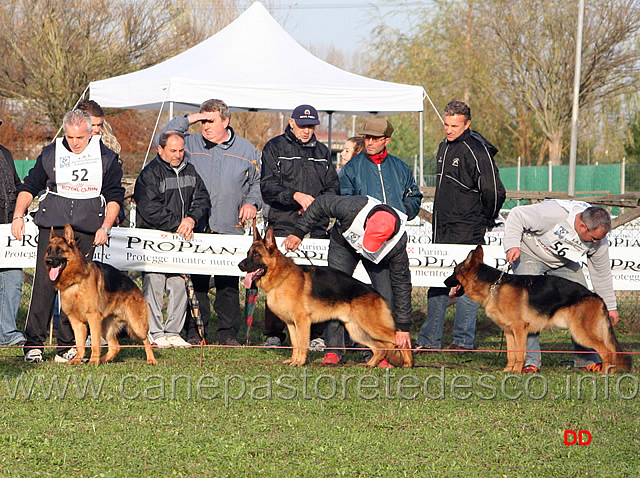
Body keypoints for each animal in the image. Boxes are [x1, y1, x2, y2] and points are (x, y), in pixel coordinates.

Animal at [44, 224, 157, 366]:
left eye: (59, 251)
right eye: (49, 250)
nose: (48, 261)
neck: (75, 281)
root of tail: (135, 286)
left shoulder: (93, 319)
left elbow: (94, 343)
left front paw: (93, 361)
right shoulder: (76, 322)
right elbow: (80, 344)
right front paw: (78, 359)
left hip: (136, 326)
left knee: (146, 340)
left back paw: (151, 359)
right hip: (105, 327)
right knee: (115, 346)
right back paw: (103, 360)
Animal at [238, 226, 412, 368]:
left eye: (256, 255)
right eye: (247, 254)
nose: (240, 265)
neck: (281, 277)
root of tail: (376, 293)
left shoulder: (302, 322)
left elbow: (302, 343)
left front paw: (300, 362)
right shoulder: (291, 324)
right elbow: (295, 343)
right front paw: (294, 360)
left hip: (372, 326)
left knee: (398, 337)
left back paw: (408, 363)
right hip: (357, 331)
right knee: (380, 348)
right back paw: (370, 364)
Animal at [448, 246, 632, 374]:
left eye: (454, 272)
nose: (444, 282)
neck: (493, 285)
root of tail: (596, 296)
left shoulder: (519, 329)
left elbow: (519, 353)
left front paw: (516, 372)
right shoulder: (508, 332)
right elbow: (510, 354)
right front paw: (507, 370)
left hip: (581, 332)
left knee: (607, 351)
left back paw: (604, 373)